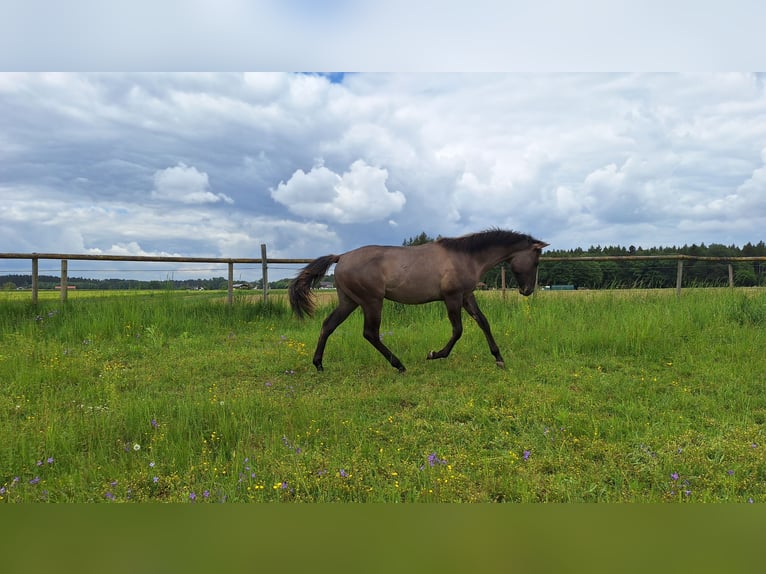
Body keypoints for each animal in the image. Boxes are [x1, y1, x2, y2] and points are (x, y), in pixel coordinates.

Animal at [288, 229, 548, 372]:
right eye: (536, 260)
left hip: (349, 301)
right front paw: (434, 354)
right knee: (370, 333)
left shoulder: (467, 296)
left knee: (328, 325)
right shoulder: (452, 298)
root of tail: (341, 257)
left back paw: (319, 364)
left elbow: (483, 322)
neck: (465, 257)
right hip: (372, 301)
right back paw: (399, 365)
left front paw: (499, 359)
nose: (527, 291)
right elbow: (458, 330)